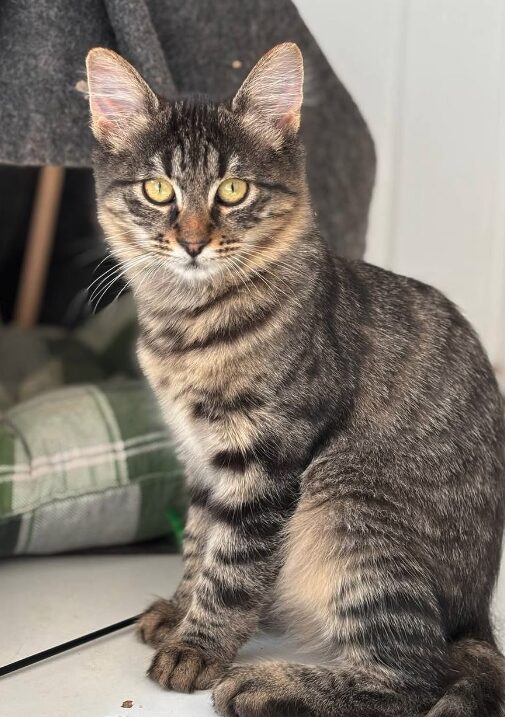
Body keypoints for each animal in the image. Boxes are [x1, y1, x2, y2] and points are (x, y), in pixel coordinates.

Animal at [86, 44, 504, 716]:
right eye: (157, 189)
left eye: (233, 190)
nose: (193, 242)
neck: (185, 325)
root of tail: (475, 620)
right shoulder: (201, 458)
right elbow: (200, 543)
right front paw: (180, 610)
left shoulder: (267, 457)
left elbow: (231, 568)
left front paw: (197, 647)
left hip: (345, 510)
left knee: (409, 677)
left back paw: (265, 684)